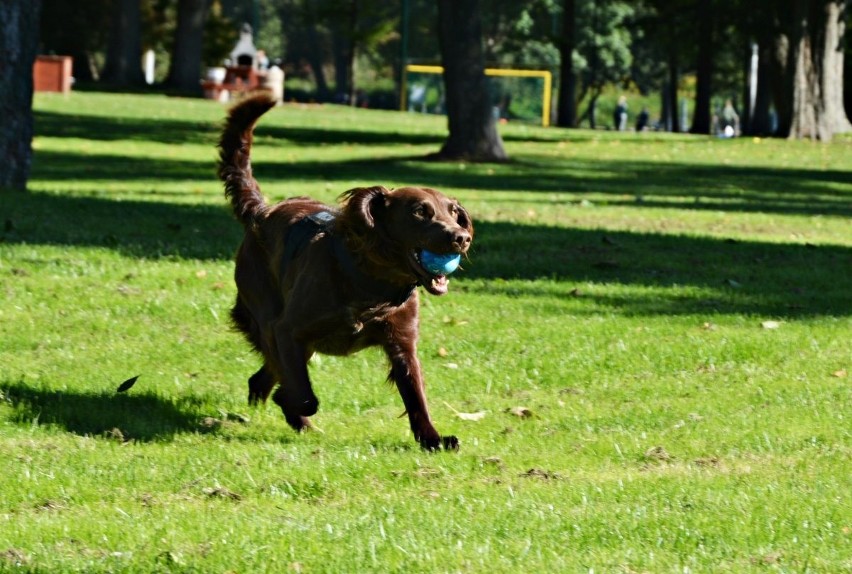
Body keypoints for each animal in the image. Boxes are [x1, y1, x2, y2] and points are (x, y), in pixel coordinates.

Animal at [216, 94, 472, 452]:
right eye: (420, 212)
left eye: (453, 213)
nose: (461, 238)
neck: (373, 284)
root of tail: (261, 212)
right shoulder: (288, 329)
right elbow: (305, 396)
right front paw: (290, 402)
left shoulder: (402, 341)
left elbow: (416, 394)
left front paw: (433, 439)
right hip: (266, 317)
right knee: (277, 370)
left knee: (262, 376)